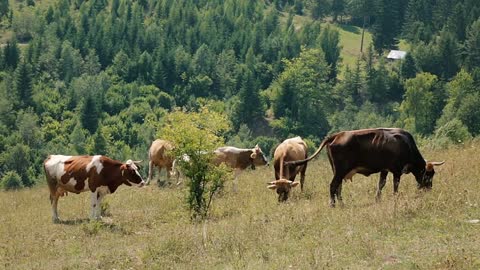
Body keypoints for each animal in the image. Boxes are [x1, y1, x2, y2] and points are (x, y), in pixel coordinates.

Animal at [284, 128, 444, 207]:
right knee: (333, 186)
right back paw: (333, 204)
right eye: (429, 174)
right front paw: (394, 198)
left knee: (338, 186)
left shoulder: (384, 170)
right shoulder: (396, 170)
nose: (429, 189)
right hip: (340, 170)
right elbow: (395, 186)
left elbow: (381, 184)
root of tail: (336, 135)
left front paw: (378, 199)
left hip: (337, 170)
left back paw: (341, 203)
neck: (406, 145)